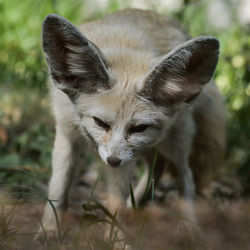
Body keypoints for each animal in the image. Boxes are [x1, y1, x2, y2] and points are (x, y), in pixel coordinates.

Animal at [40, 8, 225, 232]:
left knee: (186, 176)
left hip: (174, 142)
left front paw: (116, 237)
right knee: (158, 167)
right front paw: (49, 229)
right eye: (100, 123)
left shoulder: (126, 158)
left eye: (139, 128)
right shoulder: (66, 133)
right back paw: (136, 207)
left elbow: (116, 204)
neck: (124, 52)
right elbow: (58, 187)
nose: (113, 160)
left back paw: (189, 227)